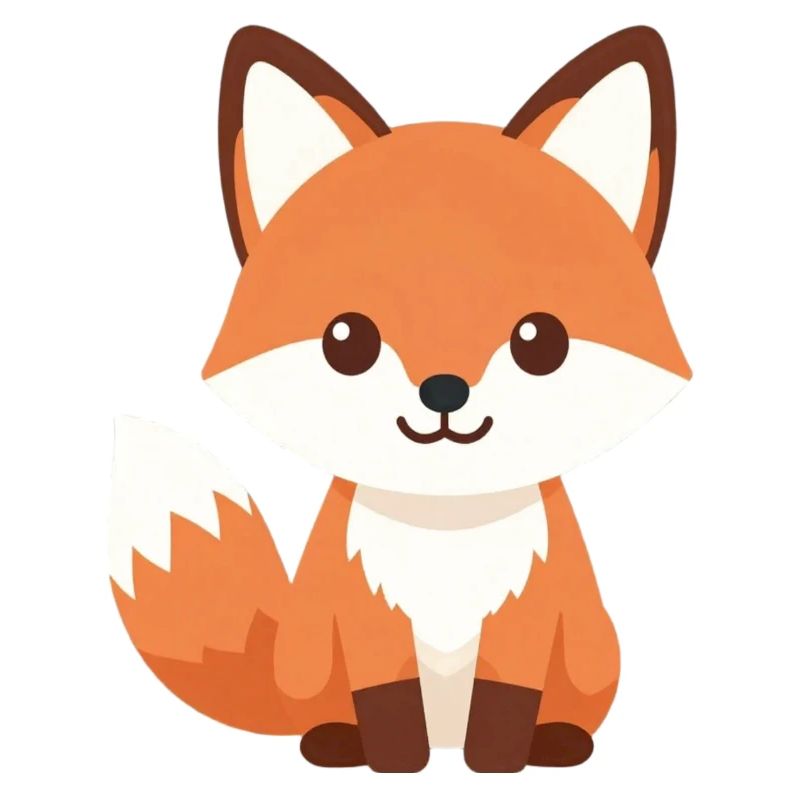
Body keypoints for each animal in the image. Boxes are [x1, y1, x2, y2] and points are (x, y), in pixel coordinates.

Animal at [109, 24, 691, 772]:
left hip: (594, 652)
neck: (444, 527)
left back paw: (557, 741)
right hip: (306, 654)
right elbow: (384, 698)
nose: (444, 390)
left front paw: (496, 762)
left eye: (540, 340)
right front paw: (393, 762)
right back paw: (334, 741)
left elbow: (507, 701)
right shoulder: (363, 615)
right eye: (347, 339)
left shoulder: (530, 616)